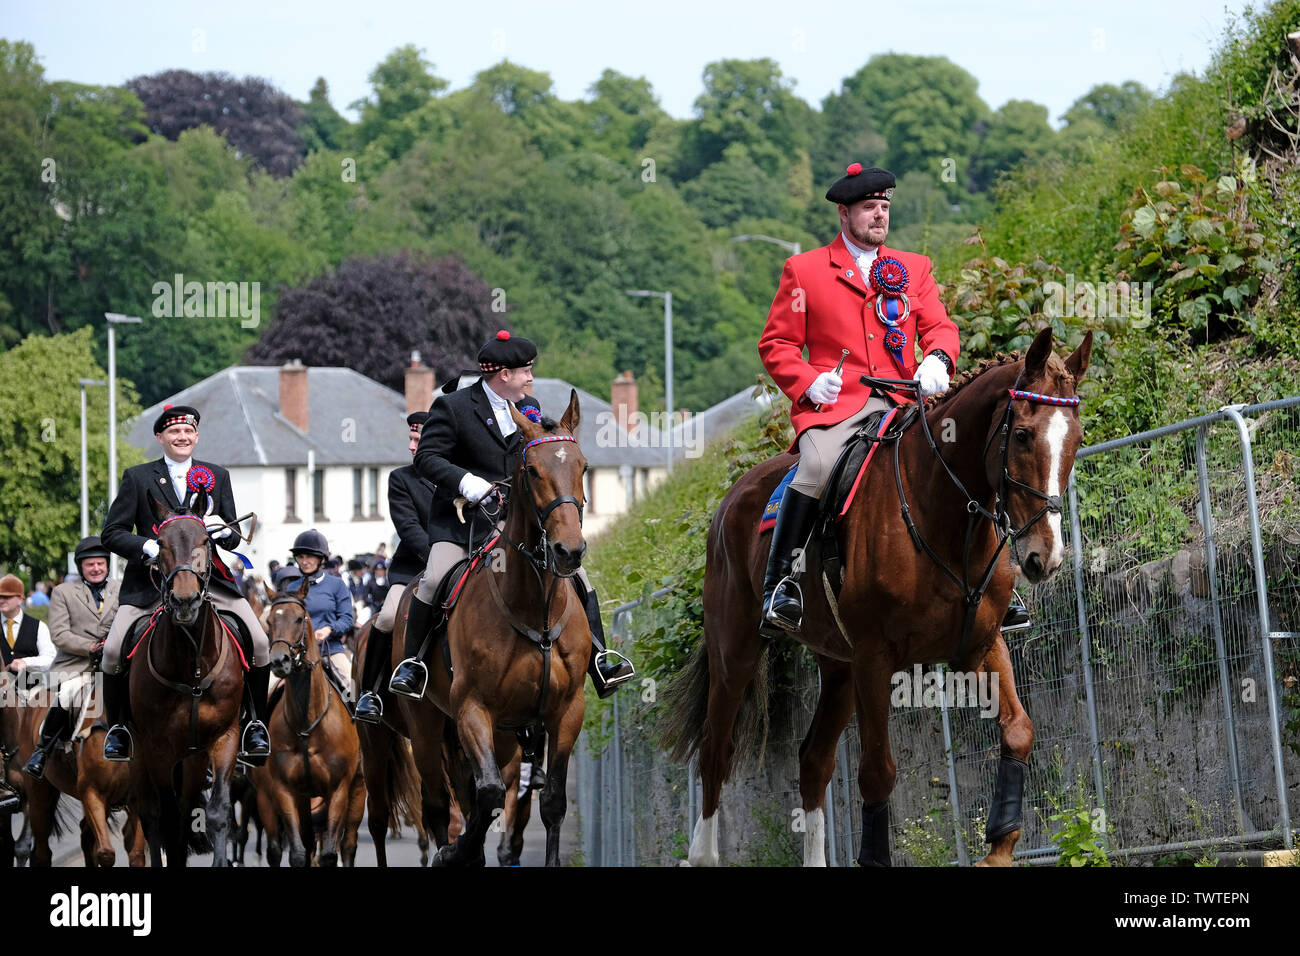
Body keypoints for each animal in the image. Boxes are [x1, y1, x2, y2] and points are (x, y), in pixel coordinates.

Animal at [134, 489, 248, 868]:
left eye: (206, 541)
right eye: (160, 543)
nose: (185, 601)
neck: (191, 662)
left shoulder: (224, 739)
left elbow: (216, 813)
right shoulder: (156, 749)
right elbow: (167, 821)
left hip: (194, 758)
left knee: (184, 811)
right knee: (151, 817)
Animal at [248, 572, 366, 868]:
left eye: (300, 618)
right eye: (269, 621)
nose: (280, 660)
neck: (307, 724)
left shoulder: (338, 791)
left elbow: (329, 853)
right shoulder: (285, 791)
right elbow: (299, 853)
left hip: (358, 791)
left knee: (348, 846)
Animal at [384, 392, 590, 868]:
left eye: (583, 467)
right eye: (532, 471)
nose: (569, 551)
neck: (536, 608)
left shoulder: (566, 711)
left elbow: (550, 800)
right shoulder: (473, 709)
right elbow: (489, 793)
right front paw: (455, 851)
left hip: (504, 737)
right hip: (427, 729)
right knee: (440, 802)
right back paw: (448, 849)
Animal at [665, 329, 1092, 868]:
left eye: (1077, 439)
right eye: (1021, 436)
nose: (1045, 556)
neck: (942, 514)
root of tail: (730, 498)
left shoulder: (982, 644)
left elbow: (1019, 730)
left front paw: (999, 846)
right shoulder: (875, 658)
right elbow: (877, 773)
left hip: (839, 668)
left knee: (813, 762)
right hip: (736, 654)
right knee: (715, 753)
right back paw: (702, 853)